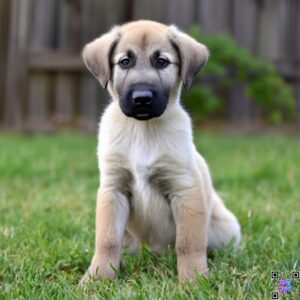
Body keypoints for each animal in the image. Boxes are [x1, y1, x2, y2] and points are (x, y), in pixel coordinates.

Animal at [80, 19, 241, 282]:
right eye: (125, 61)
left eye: (162, 61)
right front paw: (97, 277)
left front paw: (193, 280)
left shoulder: (185, 190)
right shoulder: (113, 190)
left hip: (225, 227)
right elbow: (106, 241)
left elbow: (188, 243)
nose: (142, 98)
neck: (143, 129)